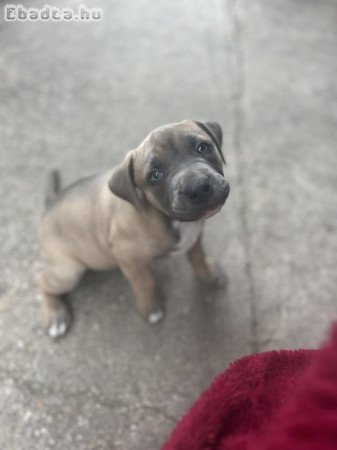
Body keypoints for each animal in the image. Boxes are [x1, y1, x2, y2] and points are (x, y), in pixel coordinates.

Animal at [38, 120, 230, 338]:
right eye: (155, 176)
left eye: (202, 148)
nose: (197, 187)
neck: (169, 218)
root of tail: (50, 203)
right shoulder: (128, 257)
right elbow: (145, 282)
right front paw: (151, 307)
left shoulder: (195, 236)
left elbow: (197, 257)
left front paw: (209, 274)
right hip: (70, 270)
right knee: (42, 279)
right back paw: (55, 315)